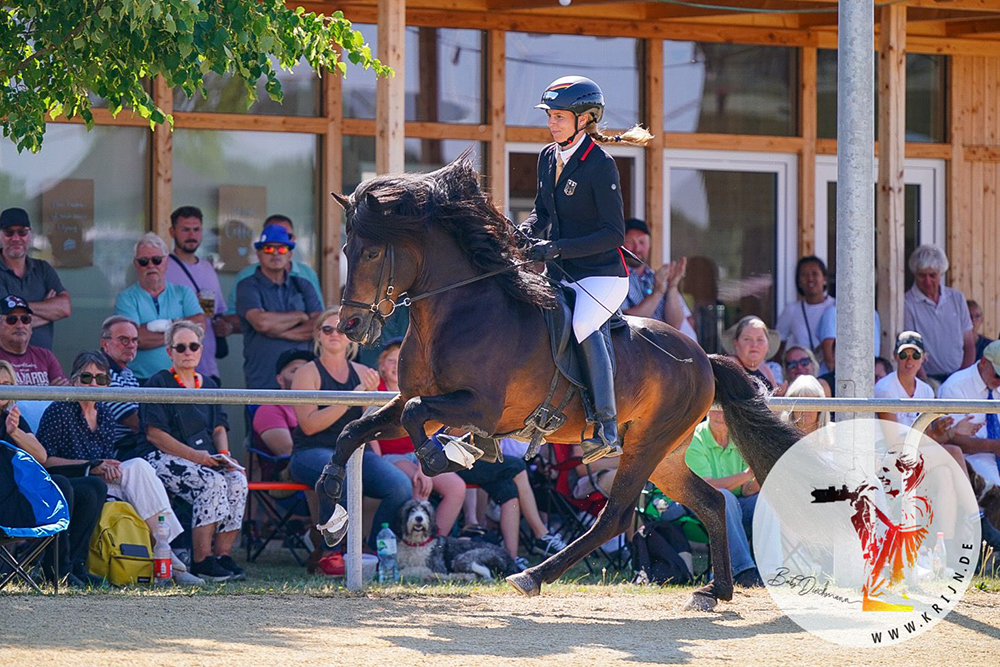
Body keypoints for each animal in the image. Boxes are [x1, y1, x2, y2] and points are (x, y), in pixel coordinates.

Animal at [324, 155, 800, 612]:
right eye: (346, 249)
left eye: (371, 254)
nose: (350, 325)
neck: (456, 311)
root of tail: (703, 357)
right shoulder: (414, 395)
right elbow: (359, 429)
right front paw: (332, 509)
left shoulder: (479, 407)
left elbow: (414, 414)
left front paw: (439, 455)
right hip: (665, 453)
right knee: (712, 502)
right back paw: (714, 590)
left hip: (647, 445)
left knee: (615, 517)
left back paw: (532, 576)